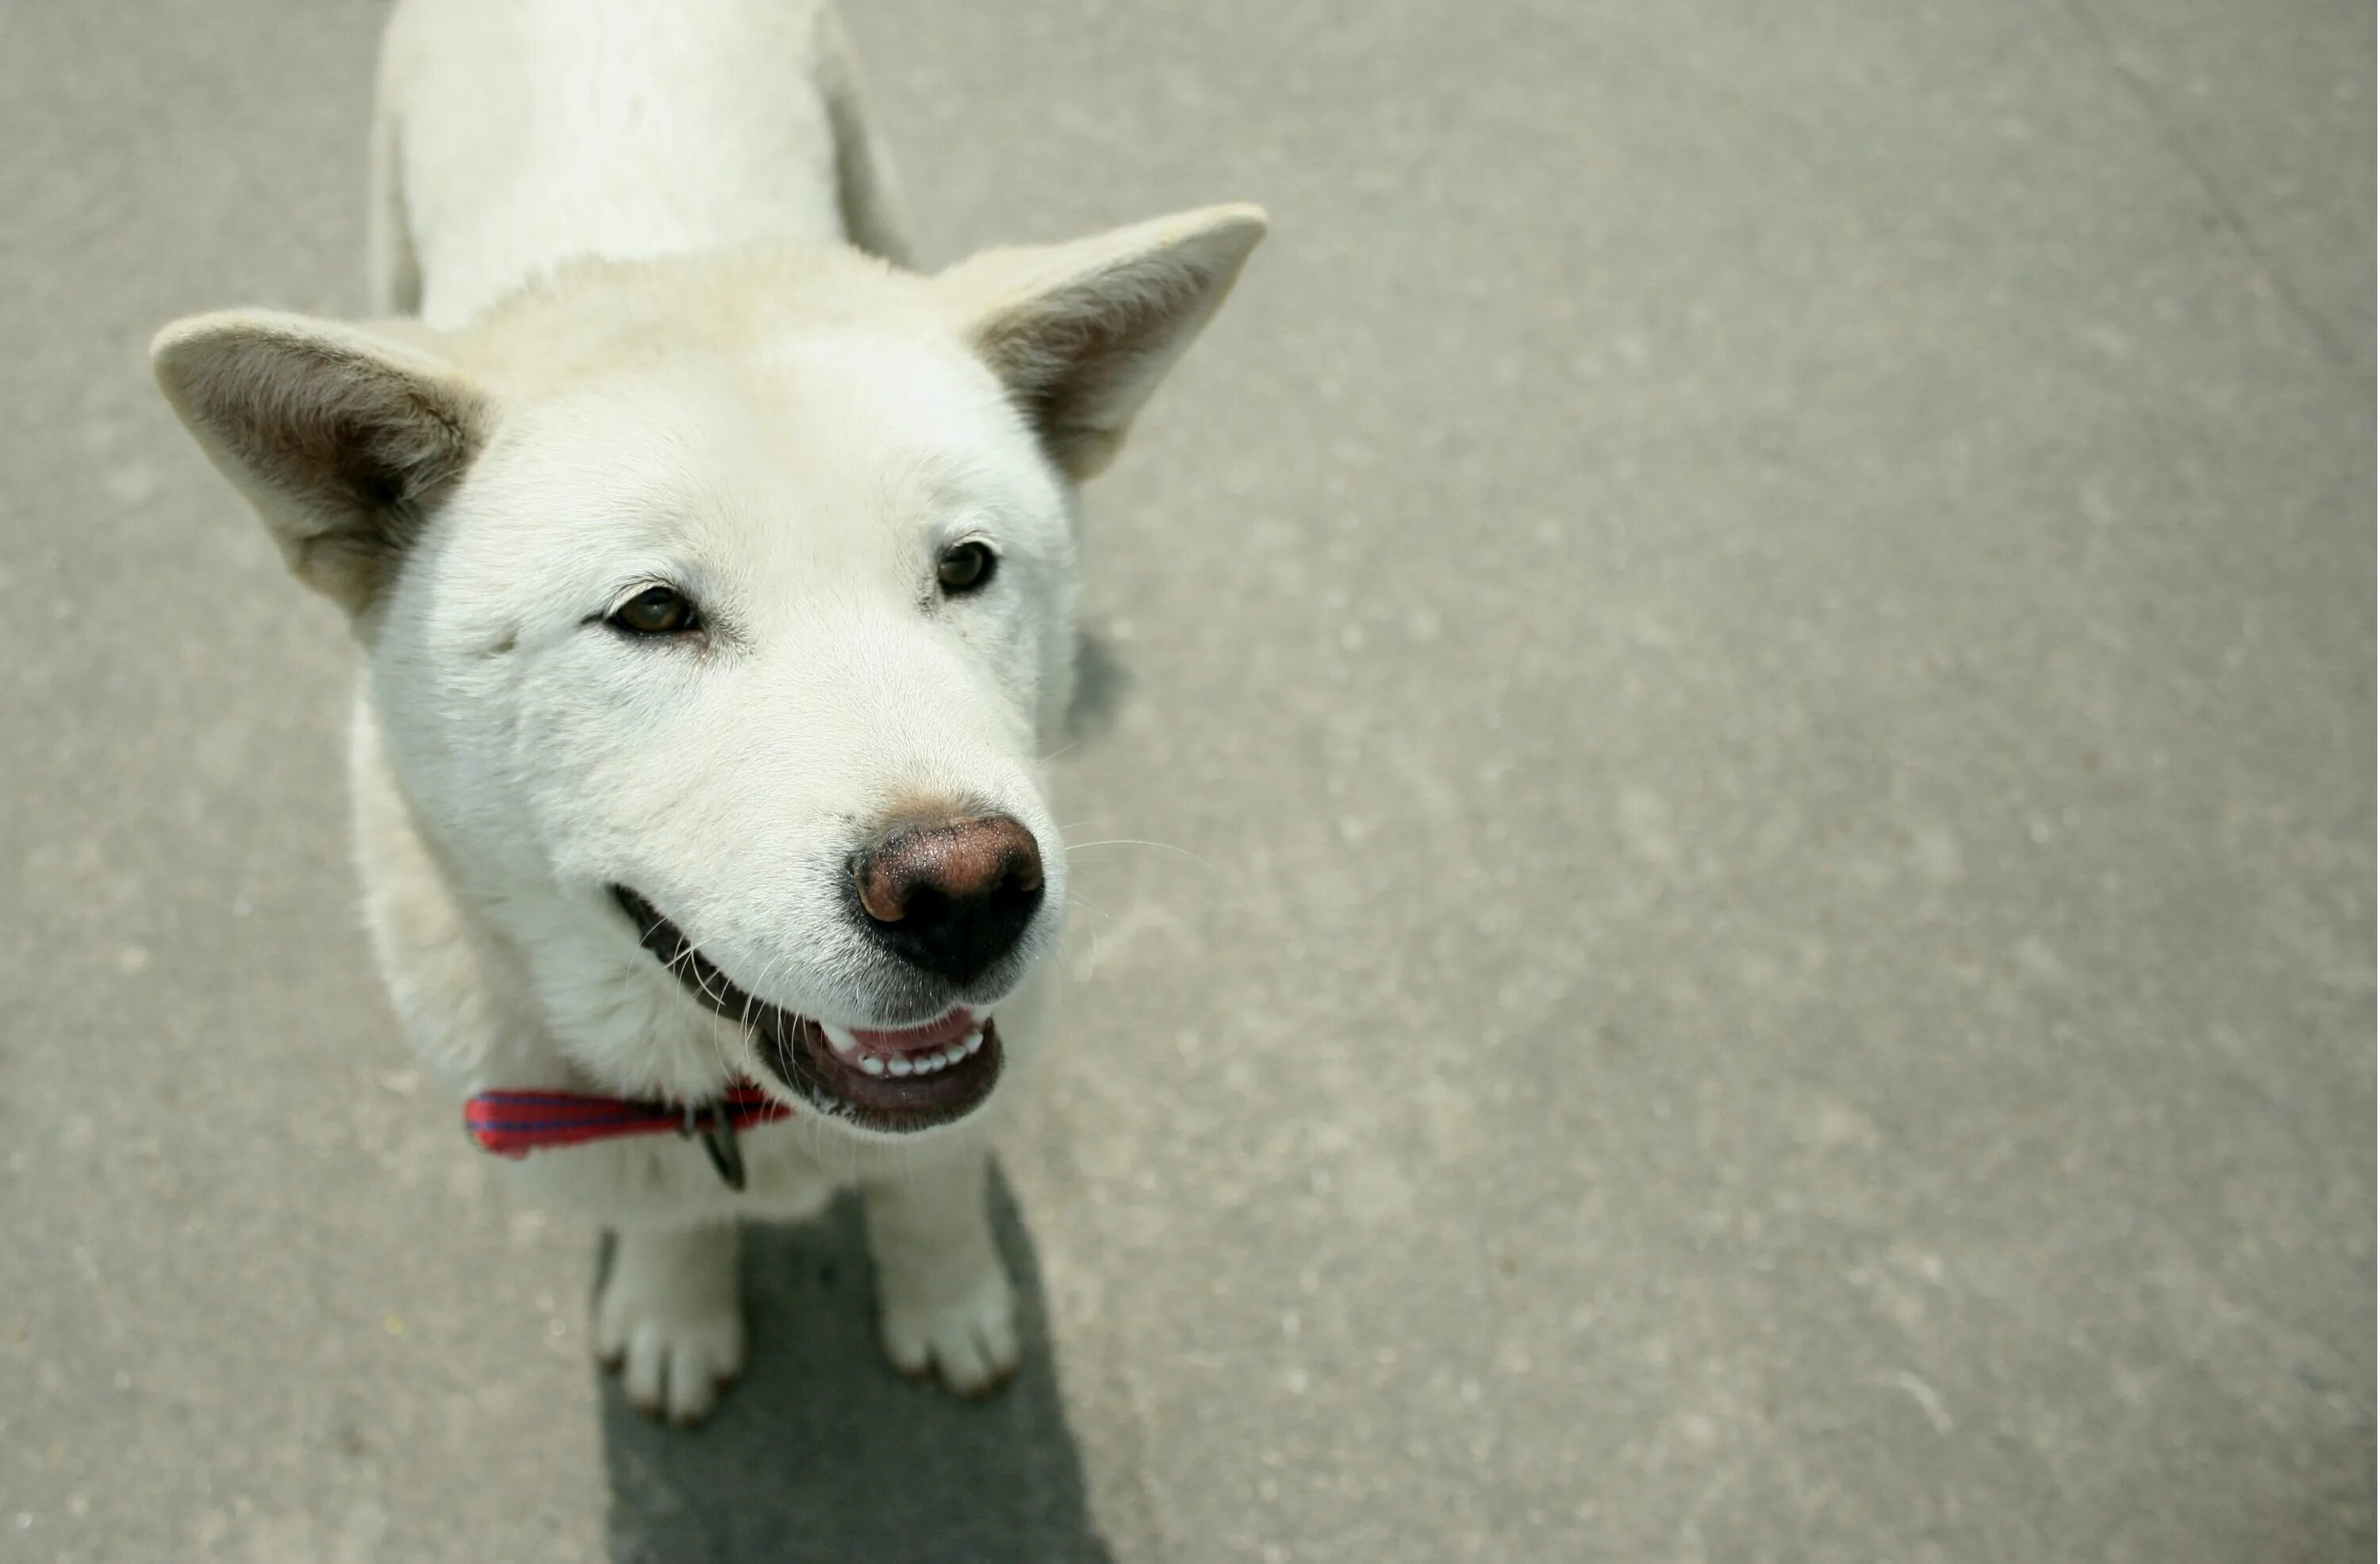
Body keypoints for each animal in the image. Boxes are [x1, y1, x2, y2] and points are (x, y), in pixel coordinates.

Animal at [148, 0, 1266, 1419]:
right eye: (653, 613)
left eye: (966, 566)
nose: (965, 890)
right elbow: (679, 1223)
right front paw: (676, 1308)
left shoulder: (967, 1085)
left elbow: (935, 1178)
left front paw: (948, 1295)